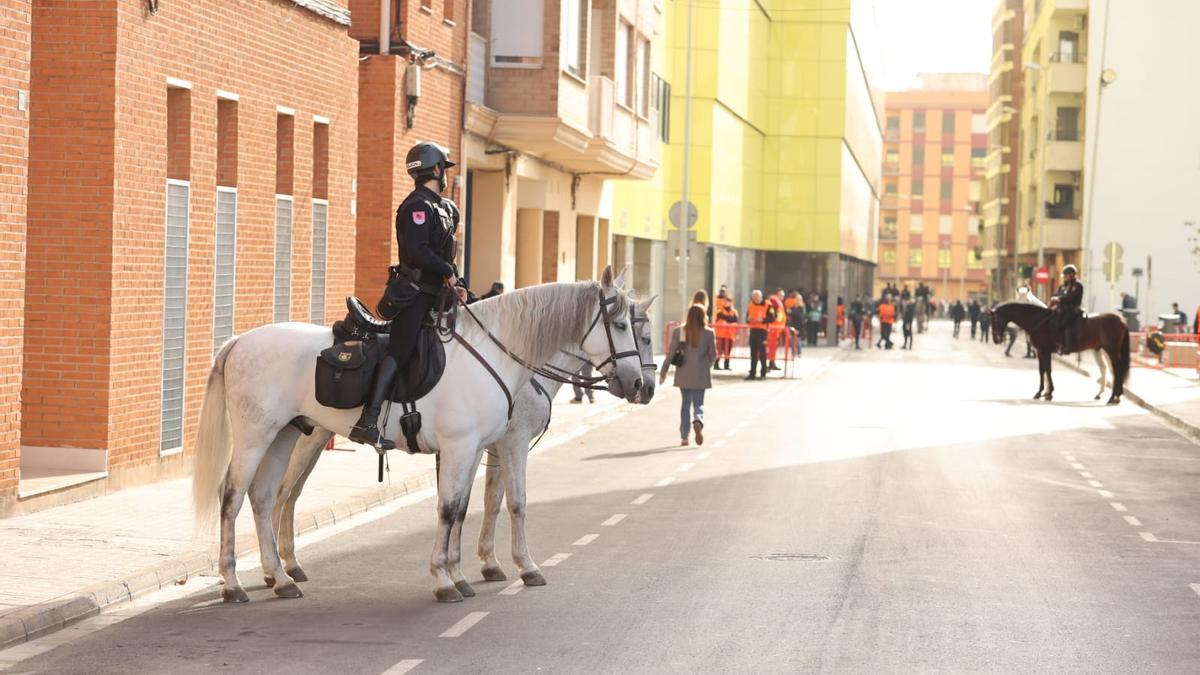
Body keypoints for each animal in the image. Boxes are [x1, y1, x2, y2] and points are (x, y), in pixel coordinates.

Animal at [194, 265, 648, 600]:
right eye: (622, 325)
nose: (641, 385)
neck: (500, 353)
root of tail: (240, 340)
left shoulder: (477, 448)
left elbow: (467, 507)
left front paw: (466, 571)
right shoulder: (485, 446)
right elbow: (469, 508)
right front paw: (452, 579)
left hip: (285, 435)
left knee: (264, 497)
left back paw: (281, 577)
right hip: (256, 437)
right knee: (235, 498)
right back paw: (234, 583)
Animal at [988, 302, 1128, 401]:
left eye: (994, 320)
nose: (996, 339)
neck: (1039, 320)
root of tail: (1121, 320)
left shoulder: (1043, 351)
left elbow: (1046, 370)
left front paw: (1046, 393)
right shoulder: (1042, 352)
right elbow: (1043, 370)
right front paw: (1045, 393)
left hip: (1111, 351)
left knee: (1116, 370)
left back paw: (1113, 397)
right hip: (1100, 350)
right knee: (1108, 369)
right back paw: (1113, 396)